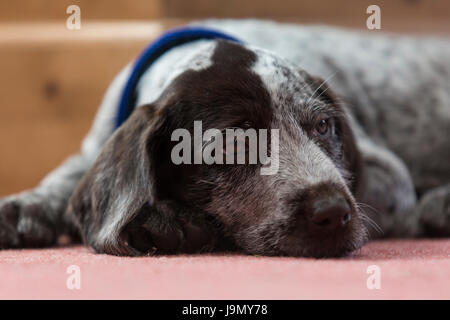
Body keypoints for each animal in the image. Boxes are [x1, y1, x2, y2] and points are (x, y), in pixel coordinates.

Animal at [0, 20, 450, 258]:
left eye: (323, 126)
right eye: (233, 144)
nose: (333, 212)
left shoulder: (389, 175)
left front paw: (168, 223)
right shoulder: (90, 149)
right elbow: (62, 180)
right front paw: (25, 206)